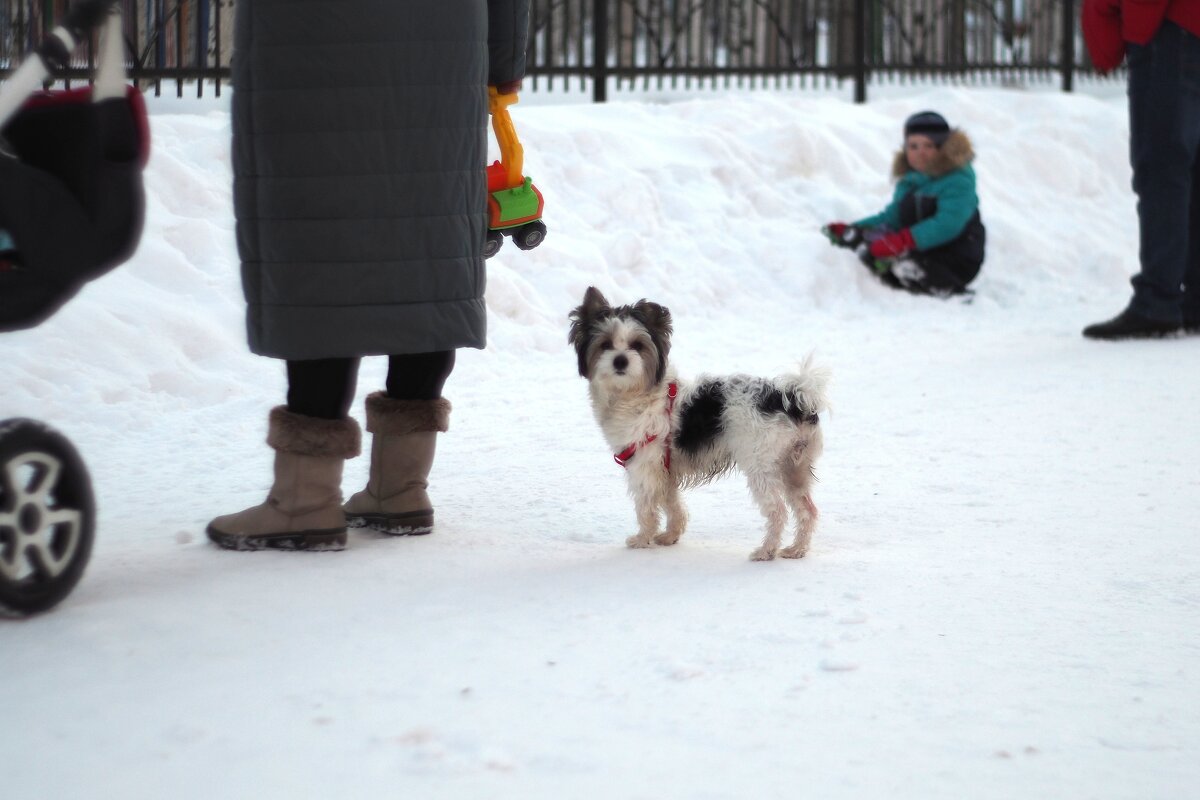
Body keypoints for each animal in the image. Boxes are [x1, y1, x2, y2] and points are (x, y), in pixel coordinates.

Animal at [568, 287, 830, 563]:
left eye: (637, 345)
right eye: (605, 344)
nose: (620, 361)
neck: (637, 393)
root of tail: (792, 399)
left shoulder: (644, 467)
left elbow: (646, 507)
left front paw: (642, 539)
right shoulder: (665, 468)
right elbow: (672, 503)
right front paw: (670, 535)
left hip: (762, 466)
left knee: (778, 510)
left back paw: (766, 551)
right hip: (794, 468)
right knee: (807, 510)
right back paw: (797, 549)